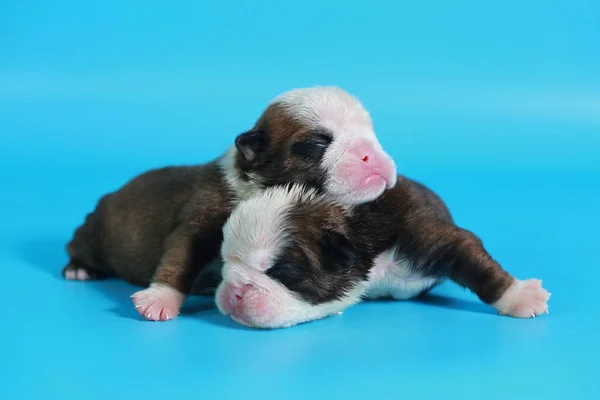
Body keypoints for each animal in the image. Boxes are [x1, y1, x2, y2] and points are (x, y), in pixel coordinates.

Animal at [63, 86, 398, 322]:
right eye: (317, 143)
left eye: (372, 133)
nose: (370, 152)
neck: (256, 184)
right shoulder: (199, 223)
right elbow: (179, 259)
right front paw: (159, 299)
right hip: (94, 235)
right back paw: (78, 269)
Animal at [218, 181, 552, 328]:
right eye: (224, 263)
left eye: (281, 272)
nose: (233, 290)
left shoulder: (432, 238)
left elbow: (479, 268)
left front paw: (520, 296)